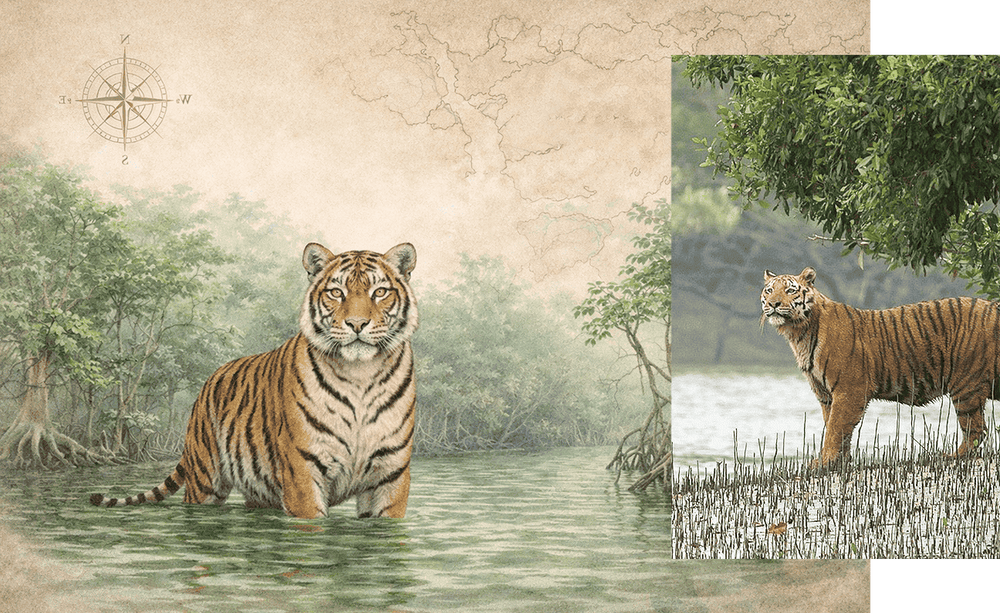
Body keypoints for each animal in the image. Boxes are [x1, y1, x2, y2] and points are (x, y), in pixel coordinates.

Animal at [90, 242, 419, 519]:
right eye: (336, 293)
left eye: (379, 292)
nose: (357, 324)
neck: (360, 373)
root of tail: (207, 382)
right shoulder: (303, 470)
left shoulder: (390, 473)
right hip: (205, 479)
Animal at [761, 267, 992, 466]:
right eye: (769, 290)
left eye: (790, 290)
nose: (773, 304)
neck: (798, 332)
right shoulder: (825, 394)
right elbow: (836, 428)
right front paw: (839, 462)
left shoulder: (849, 390)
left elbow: (835, 429)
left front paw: (825, 462)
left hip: (965, 385)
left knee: (976, 429)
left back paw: (952, 456)